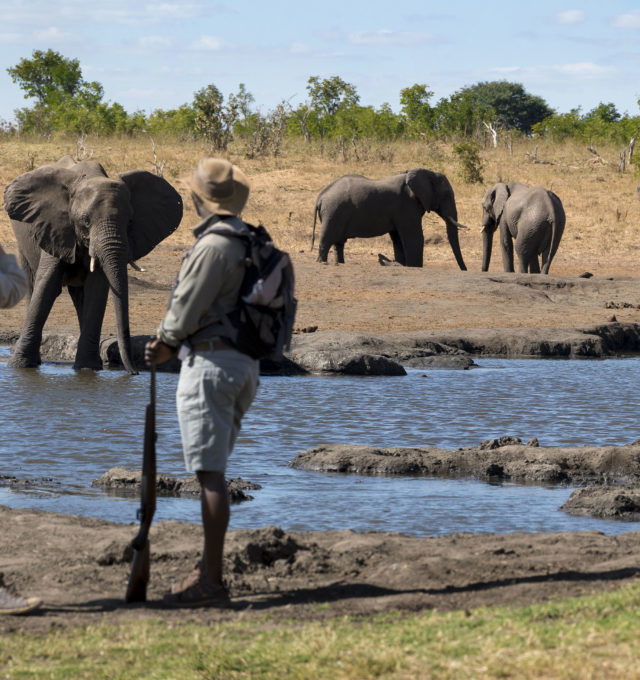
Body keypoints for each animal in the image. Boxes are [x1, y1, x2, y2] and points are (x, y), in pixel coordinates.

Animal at [5, 155, 184, 372]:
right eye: (85, 221)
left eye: (130, 221)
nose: (134, 373)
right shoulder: (55, 228)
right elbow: (47, 285)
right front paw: (19, 366)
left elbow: (96, 289)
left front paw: (87, 368)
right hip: (24, 245)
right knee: (33, 285)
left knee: (80, 296)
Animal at [312, 167, 468, 268]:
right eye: (447, 195)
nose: (464, 269)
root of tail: (321, 196)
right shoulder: (407, 206)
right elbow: (414, 237)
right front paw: (415, 267)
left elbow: (398, 238)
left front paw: (403, 264)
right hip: (333, 211)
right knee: (327, 239)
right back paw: (322, 262)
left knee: (339, 243)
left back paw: (340, 263)